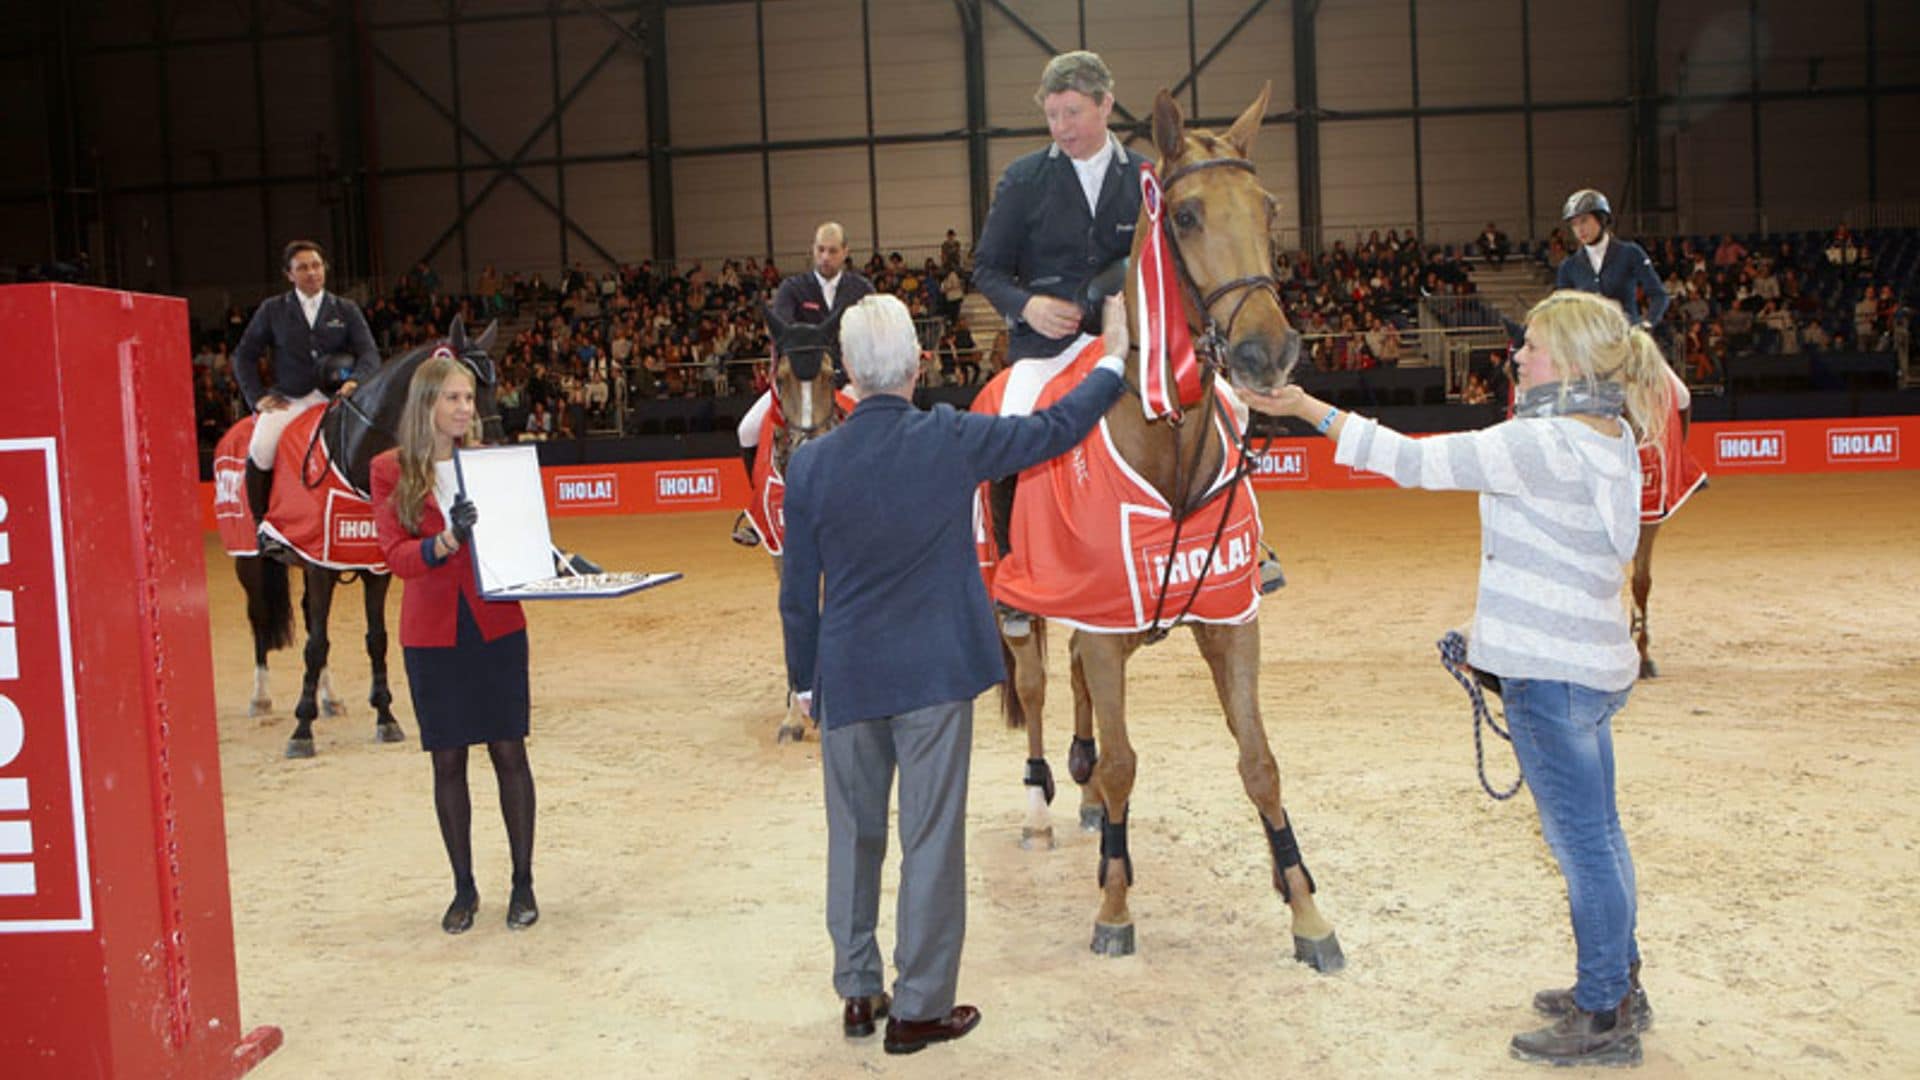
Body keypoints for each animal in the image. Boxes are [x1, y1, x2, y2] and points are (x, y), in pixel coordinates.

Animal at [232, 315, 499, 757]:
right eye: (463, 389)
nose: (488, 446)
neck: (353, 457)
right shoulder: (320, 567)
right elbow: (316, 644)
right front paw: (301, 730)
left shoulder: (374, 568)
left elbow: (376, 639)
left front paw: (385, 717)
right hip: (251, 563)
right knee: (259, 618)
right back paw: (260, 697)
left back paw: (329, 698)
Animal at [998, 84, 1344, 968]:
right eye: (1184, 216)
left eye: (1269, 208)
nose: (1268, 352)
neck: (1167, 435)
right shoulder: (1097, 624)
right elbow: (1125, 762)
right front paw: (1115, 906)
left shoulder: (1228, 617)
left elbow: (1259, 760)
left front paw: (1305, 907)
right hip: (1012, 607)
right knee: (1037, 684)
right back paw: (1042, 806)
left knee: (1075, 686)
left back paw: (1082, 794)